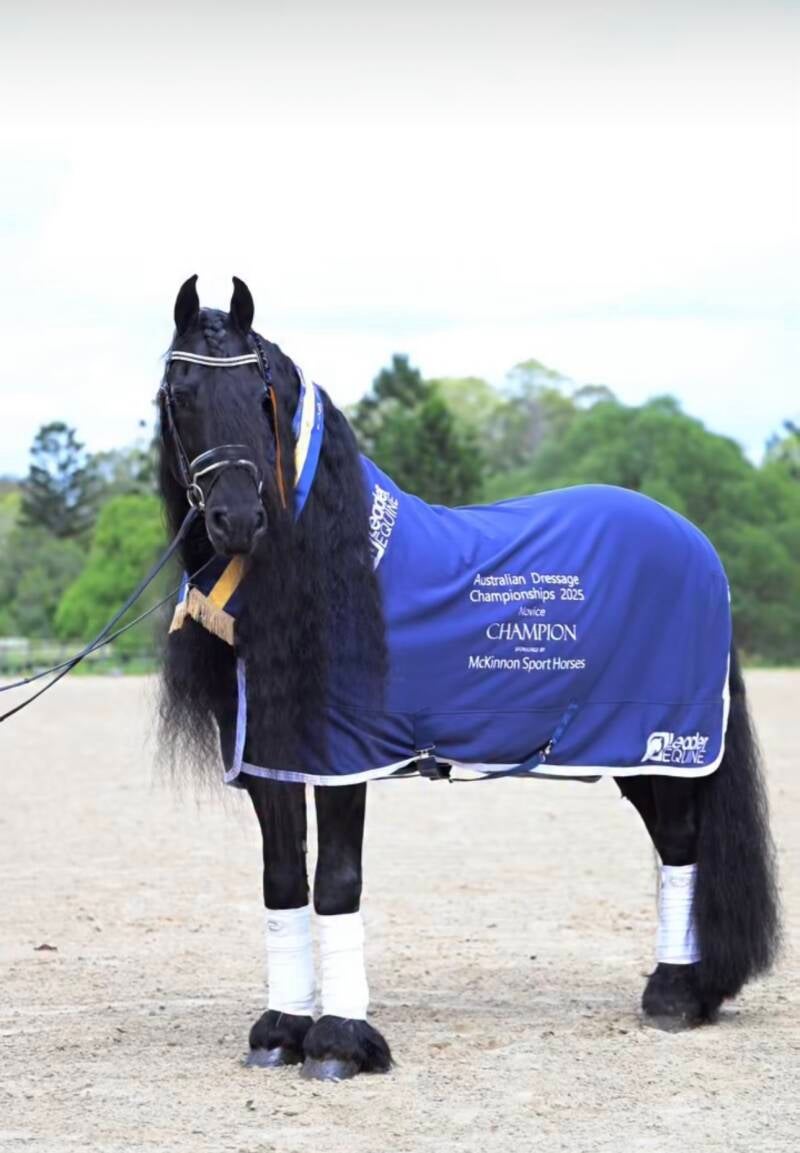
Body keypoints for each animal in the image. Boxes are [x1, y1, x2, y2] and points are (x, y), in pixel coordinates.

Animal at [157, 275, 780, 1082]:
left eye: (260, 396)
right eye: (180, 393)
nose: (236, 519)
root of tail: (696, 542)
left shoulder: (345, 761)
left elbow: (337, 883)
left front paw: (339, 1043)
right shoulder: (277, 761)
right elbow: (284, 881)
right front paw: (280, 1030)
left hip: (665, 742)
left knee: (680, 845)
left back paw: (674, 996)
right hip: (629, 751)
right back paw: (692, 988)